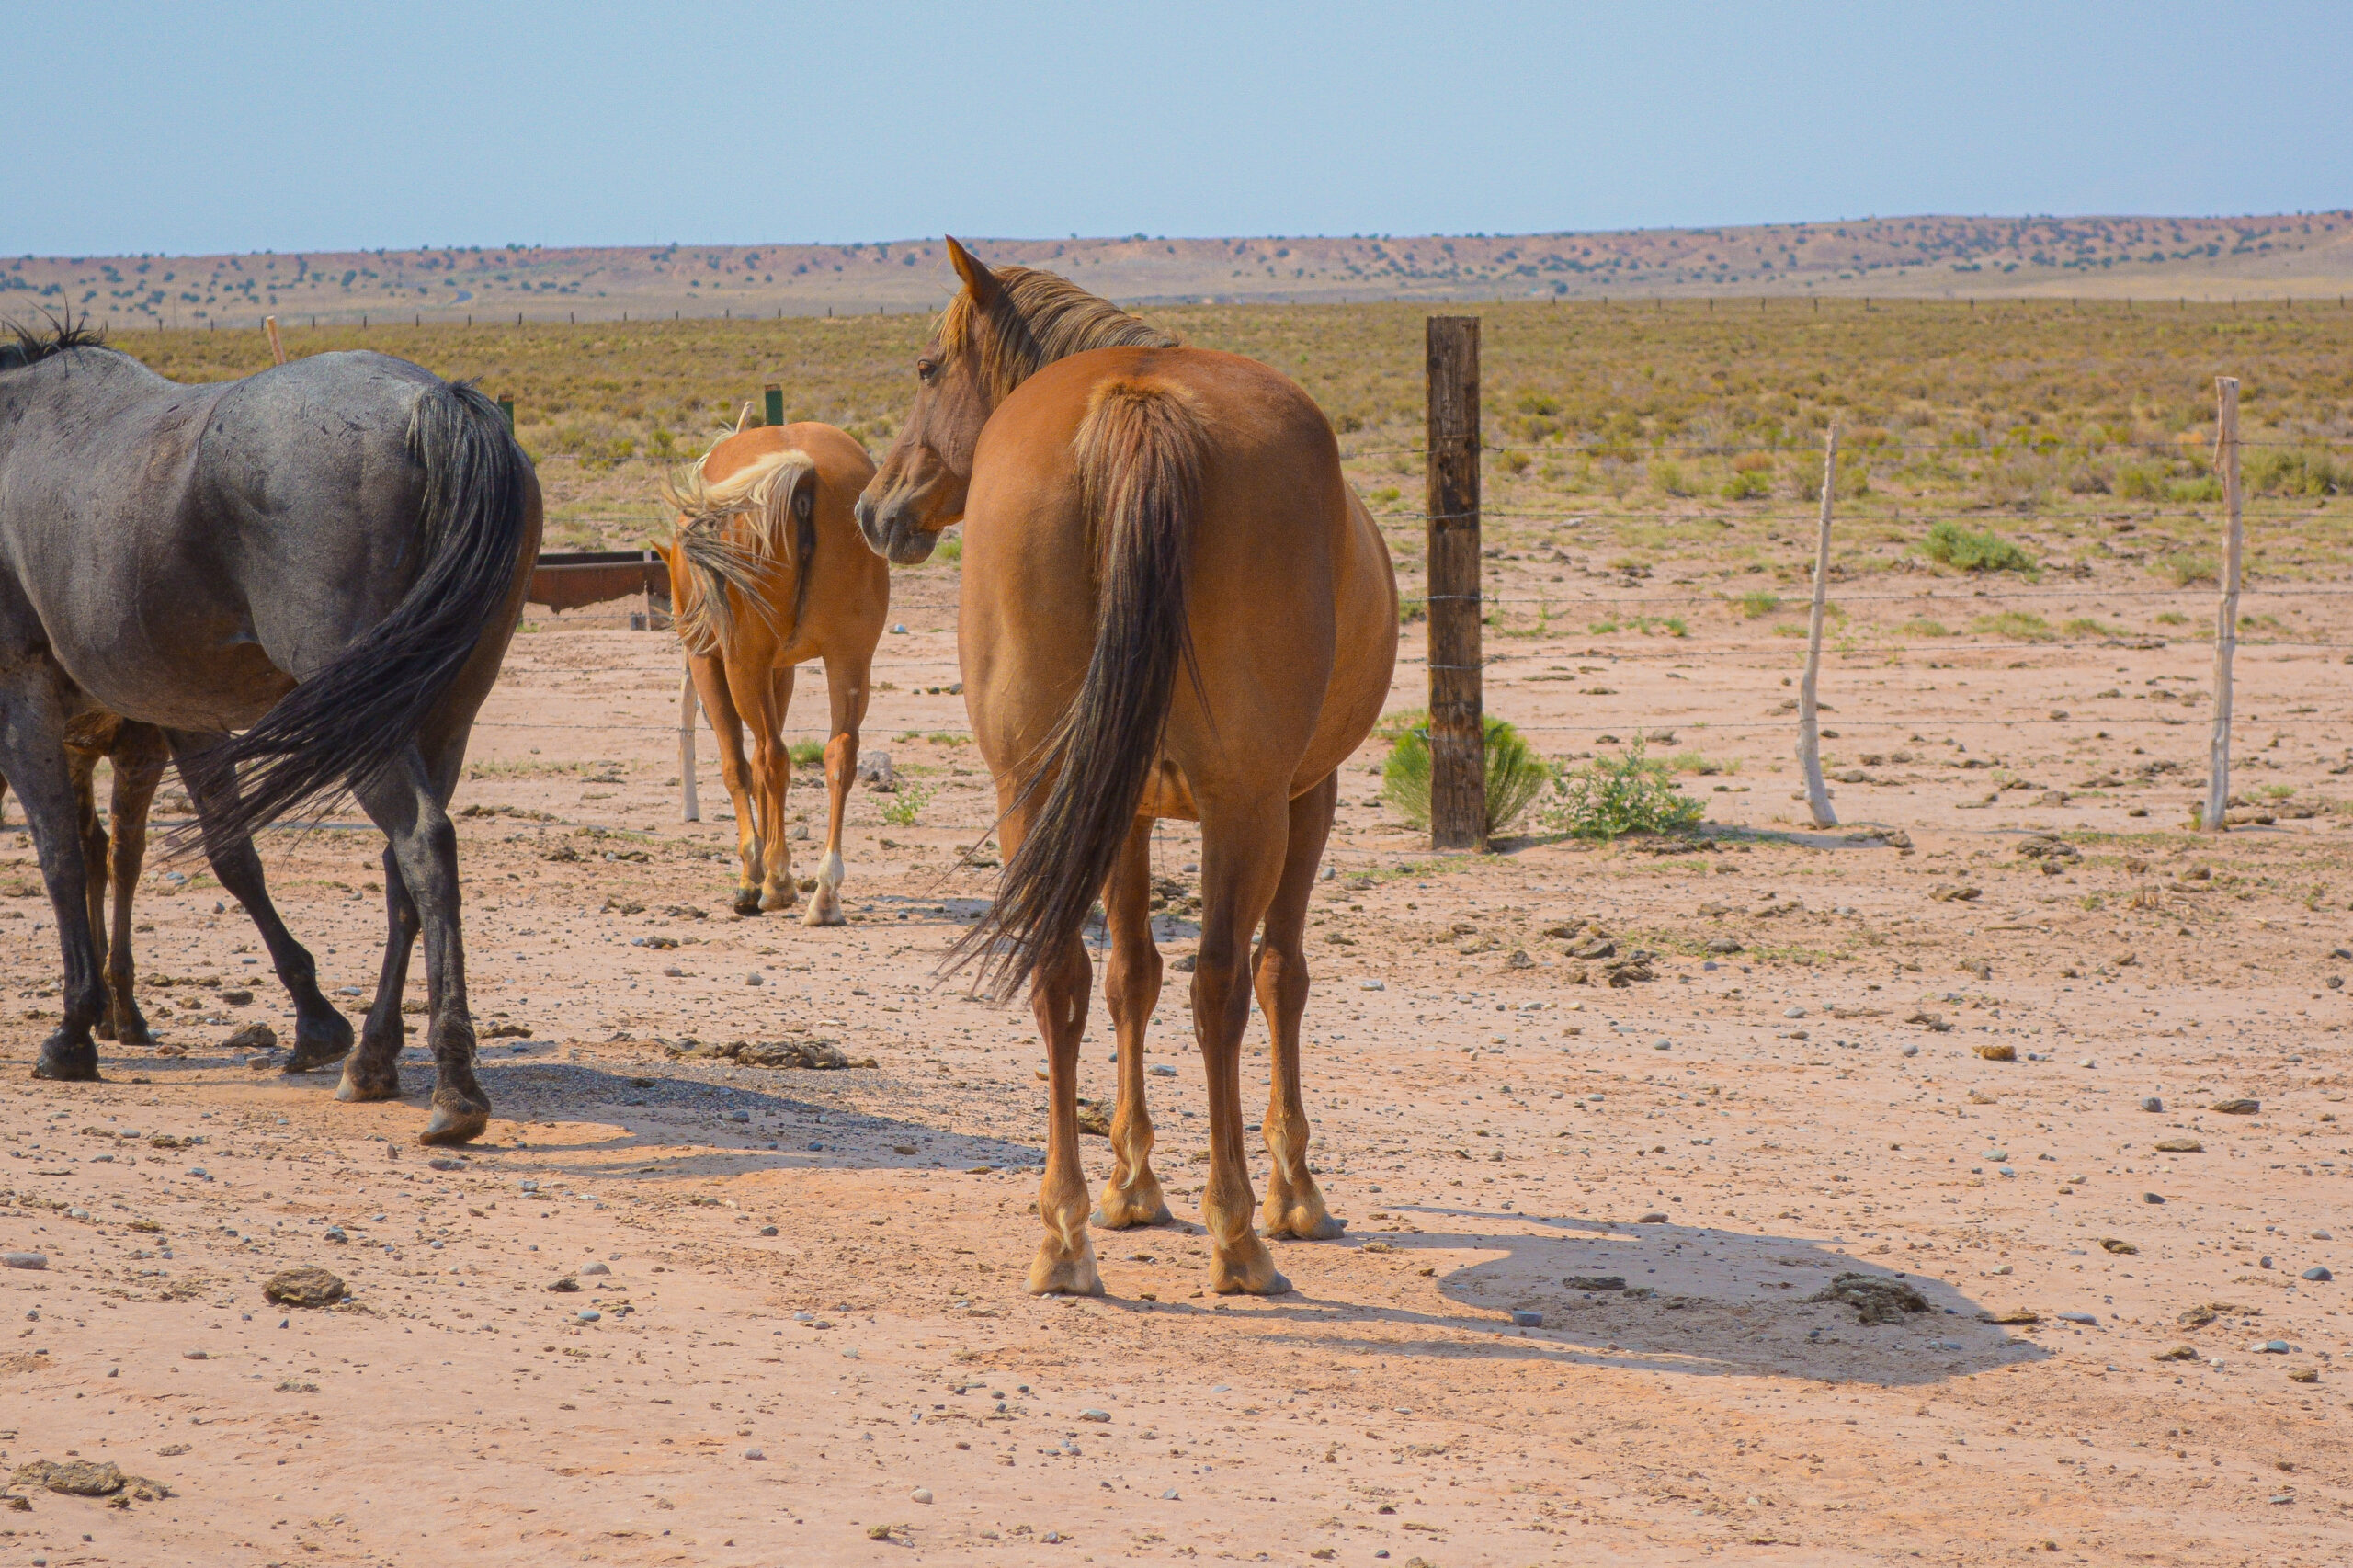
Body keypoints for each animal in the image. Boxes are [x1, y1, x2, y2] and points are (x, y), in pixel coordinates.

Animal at [0, 321, 538, 1144]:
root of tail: (428, 401)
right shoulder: (184, 719)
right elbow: (228, 856)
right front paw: (316, 1026)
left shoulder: (23, 702)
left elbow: (60, 858)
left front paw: (72, 1034)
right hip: (436, 713)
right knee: (404, 867)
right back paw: (372, 1059)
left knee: (422, 843)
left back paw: (454, 1088)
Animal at [661, 423, 886, 923]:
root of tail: (803, 470)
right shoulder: (781, 672)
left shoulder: (711, 663)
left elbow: (738, 766)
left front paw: (752, 875)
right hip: (849, 659)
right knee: (839, 754)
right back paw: (825, 892)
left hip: (743, 665)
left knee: (771, 756)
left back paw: (778, 881)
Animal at [857, 241, 1398, 1296]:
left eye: (927, 370)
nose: (875, 506)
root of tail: (1136, 401)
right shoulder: (1304, 795)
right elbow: (1278, 975)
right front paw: (1293, 1191)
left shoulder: (1125, 806)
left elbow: (1129, 976)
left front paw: (1131, 1185)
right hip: (1245, 808)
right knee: (1222, 984)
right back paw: (1239, 1236)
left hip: (1037, 794)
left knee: (1064, 972)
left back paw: (1066, 1234)